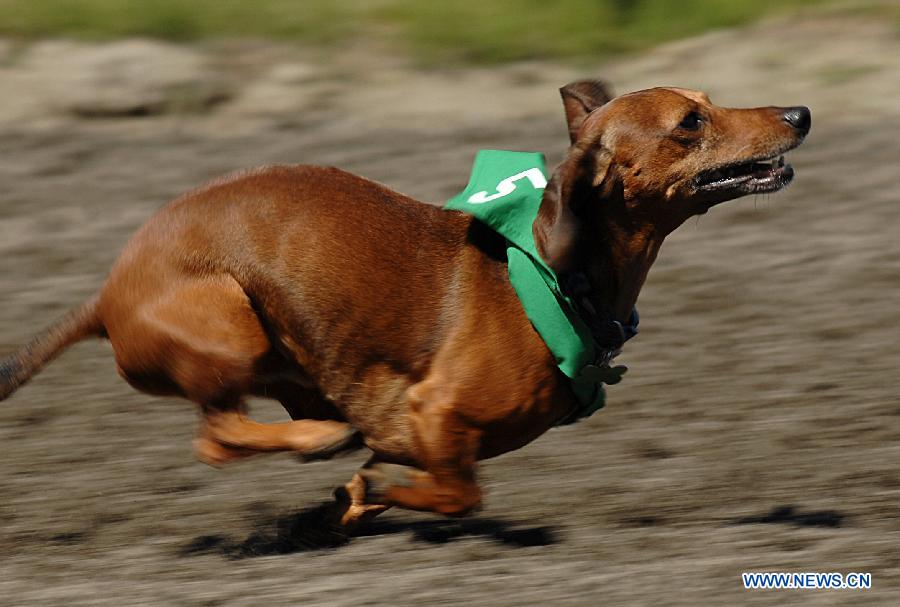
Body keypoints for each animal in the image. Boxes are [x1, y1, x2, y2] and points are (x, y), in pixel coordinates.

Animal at [0, 81, 808, 528]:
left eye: (707, 102)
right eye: (689, 124)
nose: (799, 113)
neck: (551, 272)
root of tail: (105, 297)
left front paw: (348, 503)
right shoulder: (436, 411)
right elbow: (458, 493)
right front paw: (373, 486)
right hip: (230, 318)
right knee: (217, 436)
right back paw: (317, 440)